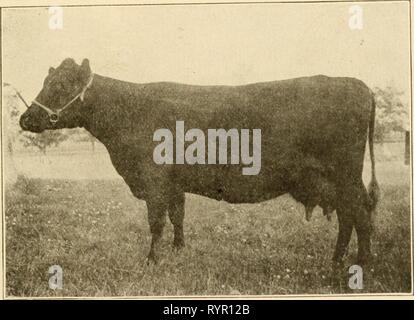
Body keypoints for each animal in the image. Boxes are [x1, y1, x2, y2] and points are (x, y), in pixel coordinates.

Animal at [21, 58, 380, 268]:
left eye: (59, 85)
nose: (25, 118)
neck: (128, 111)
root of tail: (357, 83)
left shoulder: (153, 181)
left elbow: (156, 222)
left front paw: (152, 259)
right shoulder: (173, 183)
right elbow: (177, 216)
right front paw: (179, 249)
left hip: (345, 175)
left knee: (360, 215)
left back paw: (359, 264)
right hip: (336, 181)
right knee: (349, 216)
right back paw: (337, 260)